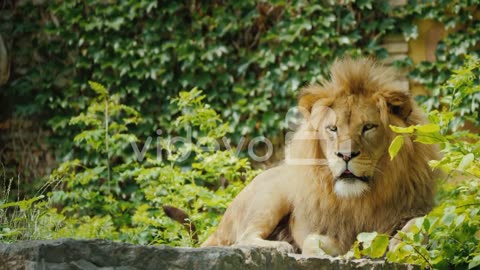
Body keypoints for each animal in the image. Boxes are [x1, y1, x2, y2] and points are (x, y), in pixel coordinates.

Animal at [172, 57, 438, 255]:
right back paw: (281, 246)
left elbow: (421, 221)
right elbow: (313, 241)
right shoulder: (322, 228)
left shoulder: (418, 206)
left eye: (368, 127)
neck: (362, 199)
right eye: (333, 129)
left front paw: (399, 244)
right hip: (272, 194)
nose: (345, 155)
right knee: (243, 238)